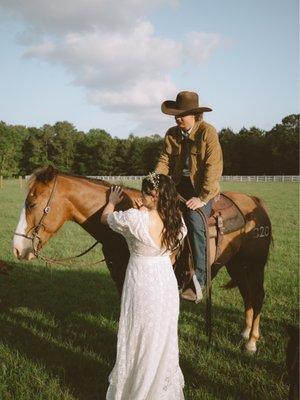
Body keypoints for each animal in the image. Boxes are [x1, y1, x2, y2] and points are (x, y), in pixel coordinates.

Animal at [12, 166, 274, 354]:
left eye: (31, 203)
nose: (17, 248)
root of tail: (254, 201)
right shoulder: (120, 276)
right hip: (237, 265)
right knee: (247, 294)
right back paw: (244, 332)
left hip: (255, 265)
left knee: (258, 294)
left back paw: (251, 342)